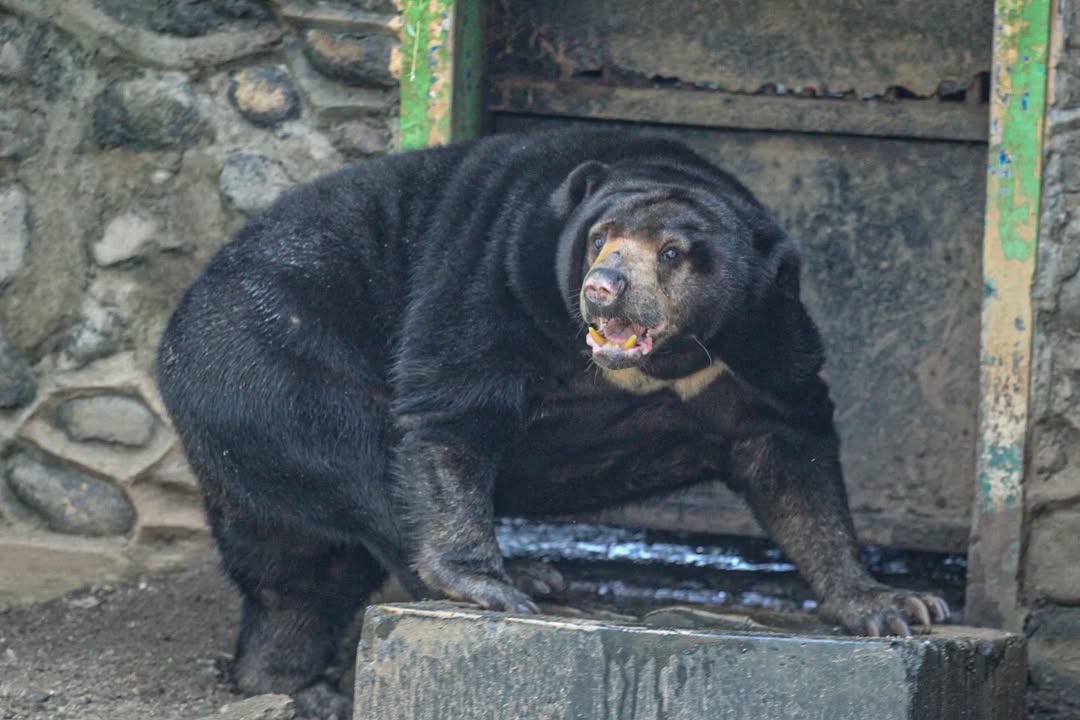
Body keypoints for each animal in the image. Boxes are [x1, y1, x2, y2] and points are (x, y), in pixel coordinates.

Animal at [156, 126, 950, 716]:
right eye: (600, 237)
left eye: (673, 253)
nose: (604, 290)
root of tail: (173, 337)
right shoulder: (498, 263)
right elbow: (454, 403)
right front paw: (485, 583)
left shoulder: (763, 332)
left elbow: (788, 447)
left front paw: (895, 605)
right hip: (274, 363)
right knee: (359, 462)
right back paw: (531, 574)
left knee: (294, 571)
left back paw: (283, 677)